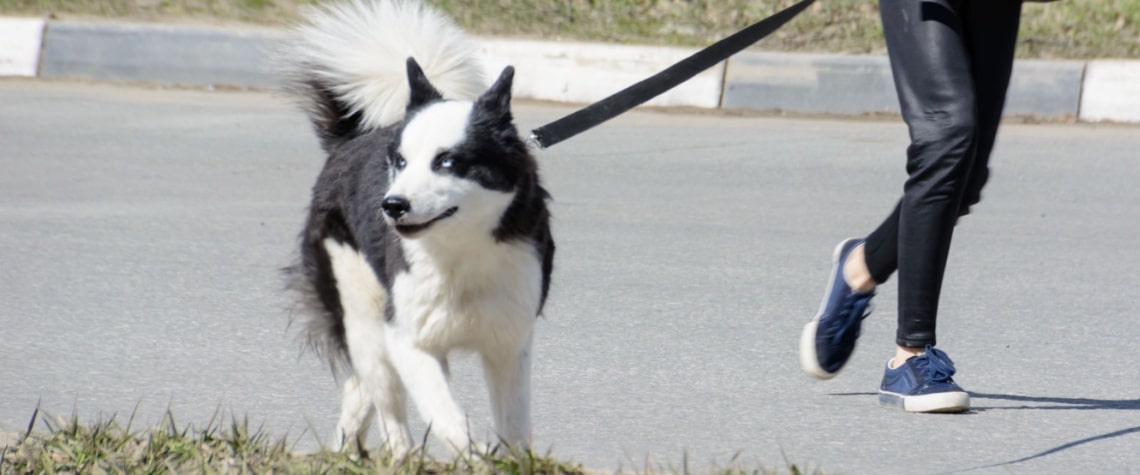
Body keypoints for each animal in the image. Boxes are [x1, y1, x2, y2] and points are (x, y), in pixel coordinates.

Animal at [282, 0, 554, 453]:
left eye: (447, 161)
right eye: (401, 162)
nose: (392, 206)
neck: (461, 252)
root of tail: (350, 142)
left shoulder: (509, 344)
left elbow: (514, 431)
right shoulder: (408, 340)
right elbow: (448, 418)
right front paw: (473, 455)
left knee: (361, 391)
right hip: (363, 316)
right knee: (389, 412)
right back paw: (398, 455)